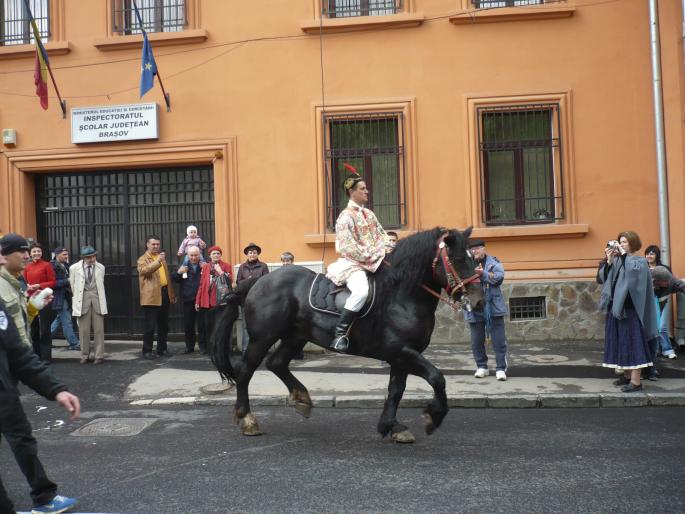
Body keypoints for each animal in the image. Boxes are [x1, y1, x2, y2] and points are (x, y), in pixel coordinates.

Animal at [208, 227, 480, 440]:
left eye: (473, 258)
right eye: (457, 258)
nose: (478, 300)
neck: (401, 294)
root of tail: (259, 281)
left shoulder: (401, 355)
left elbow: (396, 390)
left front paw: (392, 427)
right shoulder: (402, 352)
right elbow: (437, 378)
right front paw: (433, 416)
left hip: (296, 337)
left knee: (276, 363)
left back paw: (302, 399)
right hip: (262, 338)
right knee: (246, 371)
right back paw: (248, 420)